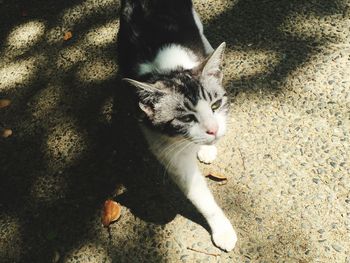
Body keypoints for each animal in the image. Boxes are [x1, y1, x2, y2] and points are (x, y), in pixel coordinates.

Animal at [116, 0, 237, 253]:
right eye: (187, 119)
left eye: (216, 104)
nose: (213, 130)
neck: (167, 70)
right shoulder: (160, 141)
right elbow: (197, 192)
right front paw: (222, 229)